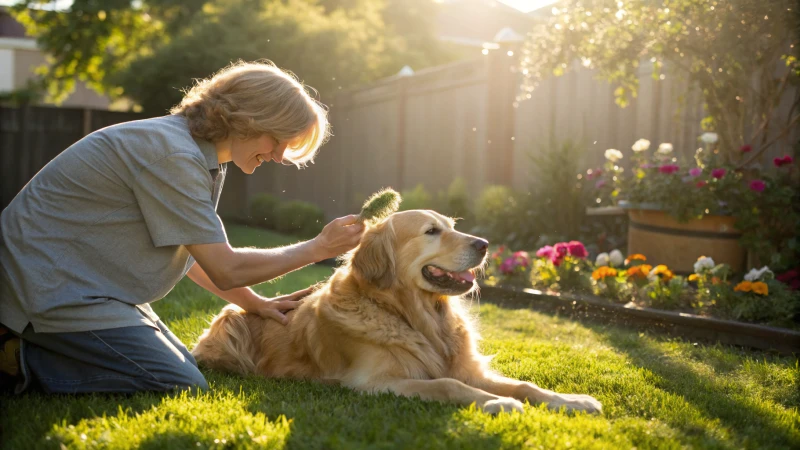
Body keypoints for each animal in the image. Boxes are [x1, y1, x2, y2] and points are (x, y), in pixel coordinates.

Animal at [192, 211, 600, 414]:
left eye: (453, 227)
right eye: (432, 231)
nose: (484, 244)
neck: (417, 316)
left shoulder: (467, 368)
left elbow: (525, 384)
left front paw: (572, 401)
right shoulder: (374, 382)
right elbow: (447, 384)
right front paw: (499, 403)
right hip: (230, 321)